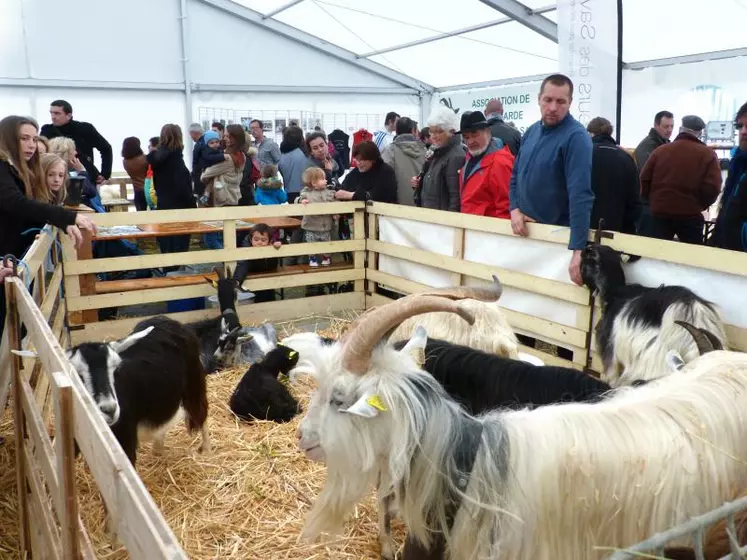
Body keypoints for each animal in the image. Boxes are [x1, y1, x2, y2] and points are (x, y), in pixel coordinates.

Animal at [66, 316, 210, 464]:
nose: (110, 409)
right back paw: (158, 451)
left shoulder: (125, 440)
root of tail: (166, 319)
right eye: (77, 374)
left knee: (201, 410)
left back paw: (206, 449)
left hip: (194, 382)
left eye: (116, 370)